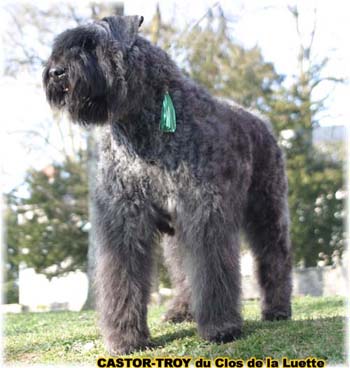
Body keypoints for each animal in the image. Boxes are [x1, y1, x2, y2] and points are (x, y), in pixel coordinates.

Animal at [42, 15, 292, 356]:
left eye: (91, 44)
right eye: (61, 46)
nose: (56, 72)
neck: (142, 129)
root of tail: (260, 121)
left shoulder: (204, 214)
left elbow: (212, 270)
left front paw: (220, 328)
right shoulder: (124, 221)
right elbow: (123, 277)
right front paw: (126, 340)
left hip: (267, 209)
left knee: (273, 255)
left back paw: (277, 309)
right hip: (177, 232)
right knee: (184, 271)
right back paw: (181, 311)